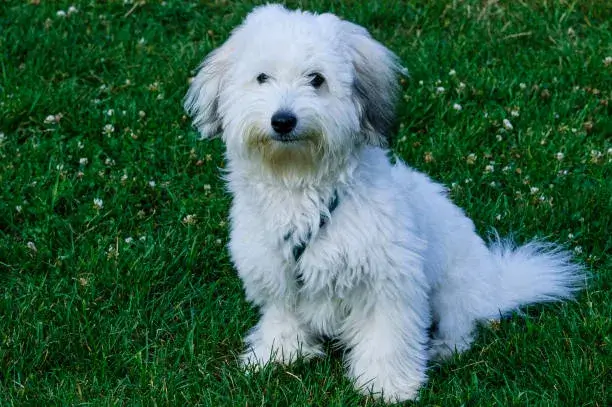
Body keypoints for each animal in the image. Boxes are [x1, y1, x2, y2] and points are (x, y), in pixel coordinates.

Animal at [185, 3, 584, 404]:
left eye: (317, 79)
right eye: (262, 77)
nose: (283, 120)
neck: (300, 182)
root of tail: (495, 285)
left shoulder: (387, 281)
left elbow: (386, 337)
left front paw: (386, 385)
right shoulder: (276, 274)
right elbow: (282, 317)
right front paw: (277, 354)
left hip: (454, 289)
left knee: (461, 327)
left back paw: (442, 348)